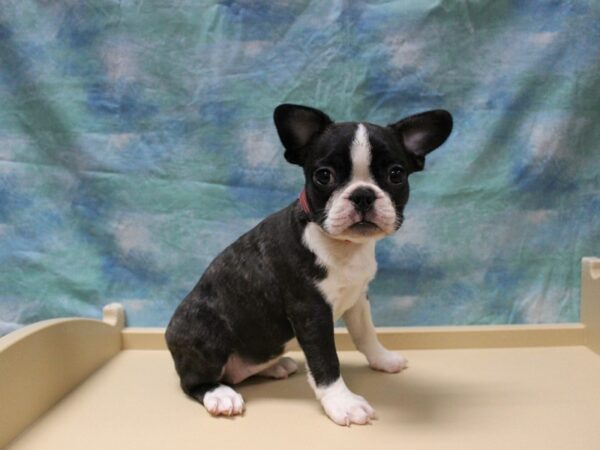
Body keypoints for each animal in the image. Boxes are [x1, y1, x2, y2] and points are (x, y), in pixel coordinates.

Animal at [166, 104, 452, 426]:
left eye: (396, 174)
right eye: (324, 176)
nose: (363, 194)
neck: (343, 245)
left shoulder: (358, 296)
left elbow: (366, 333)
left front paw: (382, 359)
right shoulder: (311, 312)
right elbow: (326, 361)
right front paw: (343, 403)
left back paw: (273, 366)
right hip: (205, 331)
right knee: (192, 382)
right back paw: (221, 394)